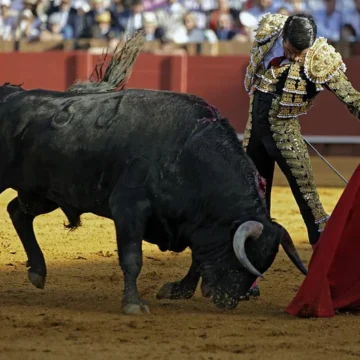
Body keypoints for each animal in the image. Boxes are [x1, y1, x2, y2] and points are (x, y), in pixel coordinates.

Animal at [0, 82, 306, 316]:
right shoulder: (128, 209)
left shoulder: (195, 225)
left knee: (17, 211)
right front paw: (133, 305)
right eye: (243, 256)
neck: (187, 153)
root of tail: (9, 93)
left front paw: (176, 290)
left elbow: (197, 260)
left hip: (42, 194)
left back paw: (38, 272)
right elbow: (132, 259)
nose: (229, 301)